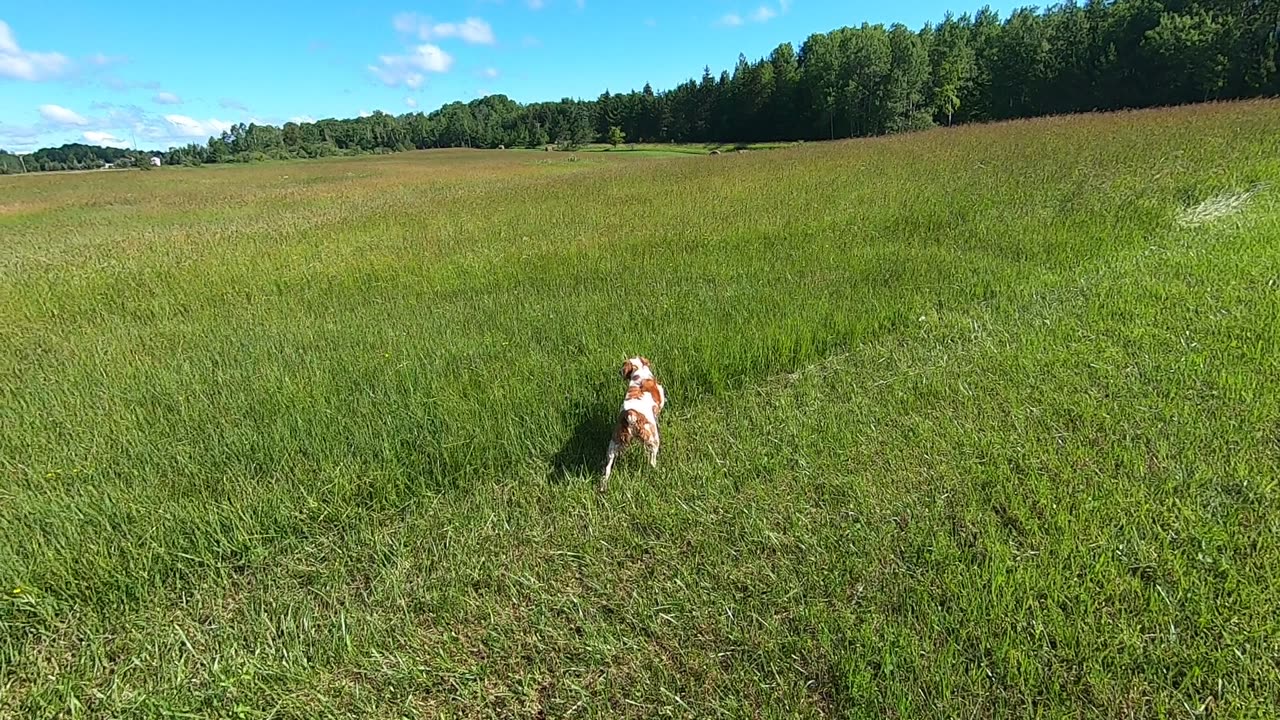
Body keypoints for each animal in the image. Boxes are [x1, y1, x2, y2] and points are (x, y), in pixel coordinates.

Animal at [604, 356, 670, 489]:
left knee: (608, 467)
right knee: (652, 460)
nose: (619, 371)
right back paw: (655, 470)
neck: (639, 375)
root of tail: (631, 414)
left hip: (614, 443)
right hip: (653, 439)